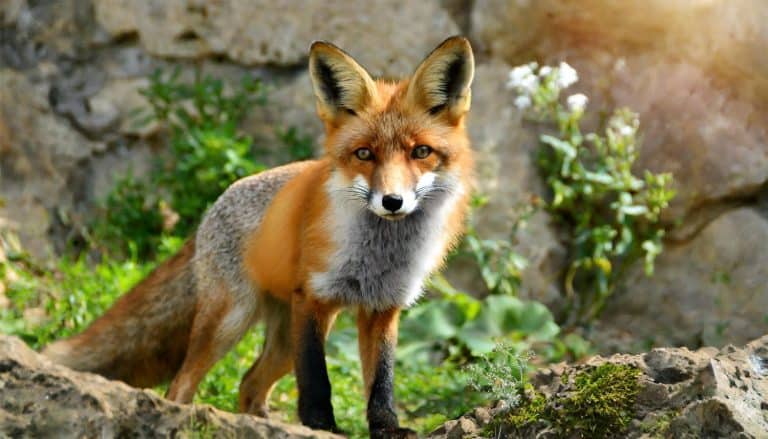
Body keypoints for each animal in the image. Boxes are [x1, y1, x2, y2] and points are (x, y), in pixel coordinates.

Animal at [43, 36, 475, 437]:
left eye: (421, 152)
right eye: (364, 154)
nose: (392, 201)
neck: (380, 256)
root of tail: (212, 210)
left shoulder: (383, 308)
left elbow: (381, 383)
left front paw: (387, 428)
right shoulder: (312, 299)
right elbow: (316, 380)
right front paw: (321, 426)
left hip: (282, 340)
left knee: (248, 385)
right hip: (231, 321)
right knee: (182, 384)